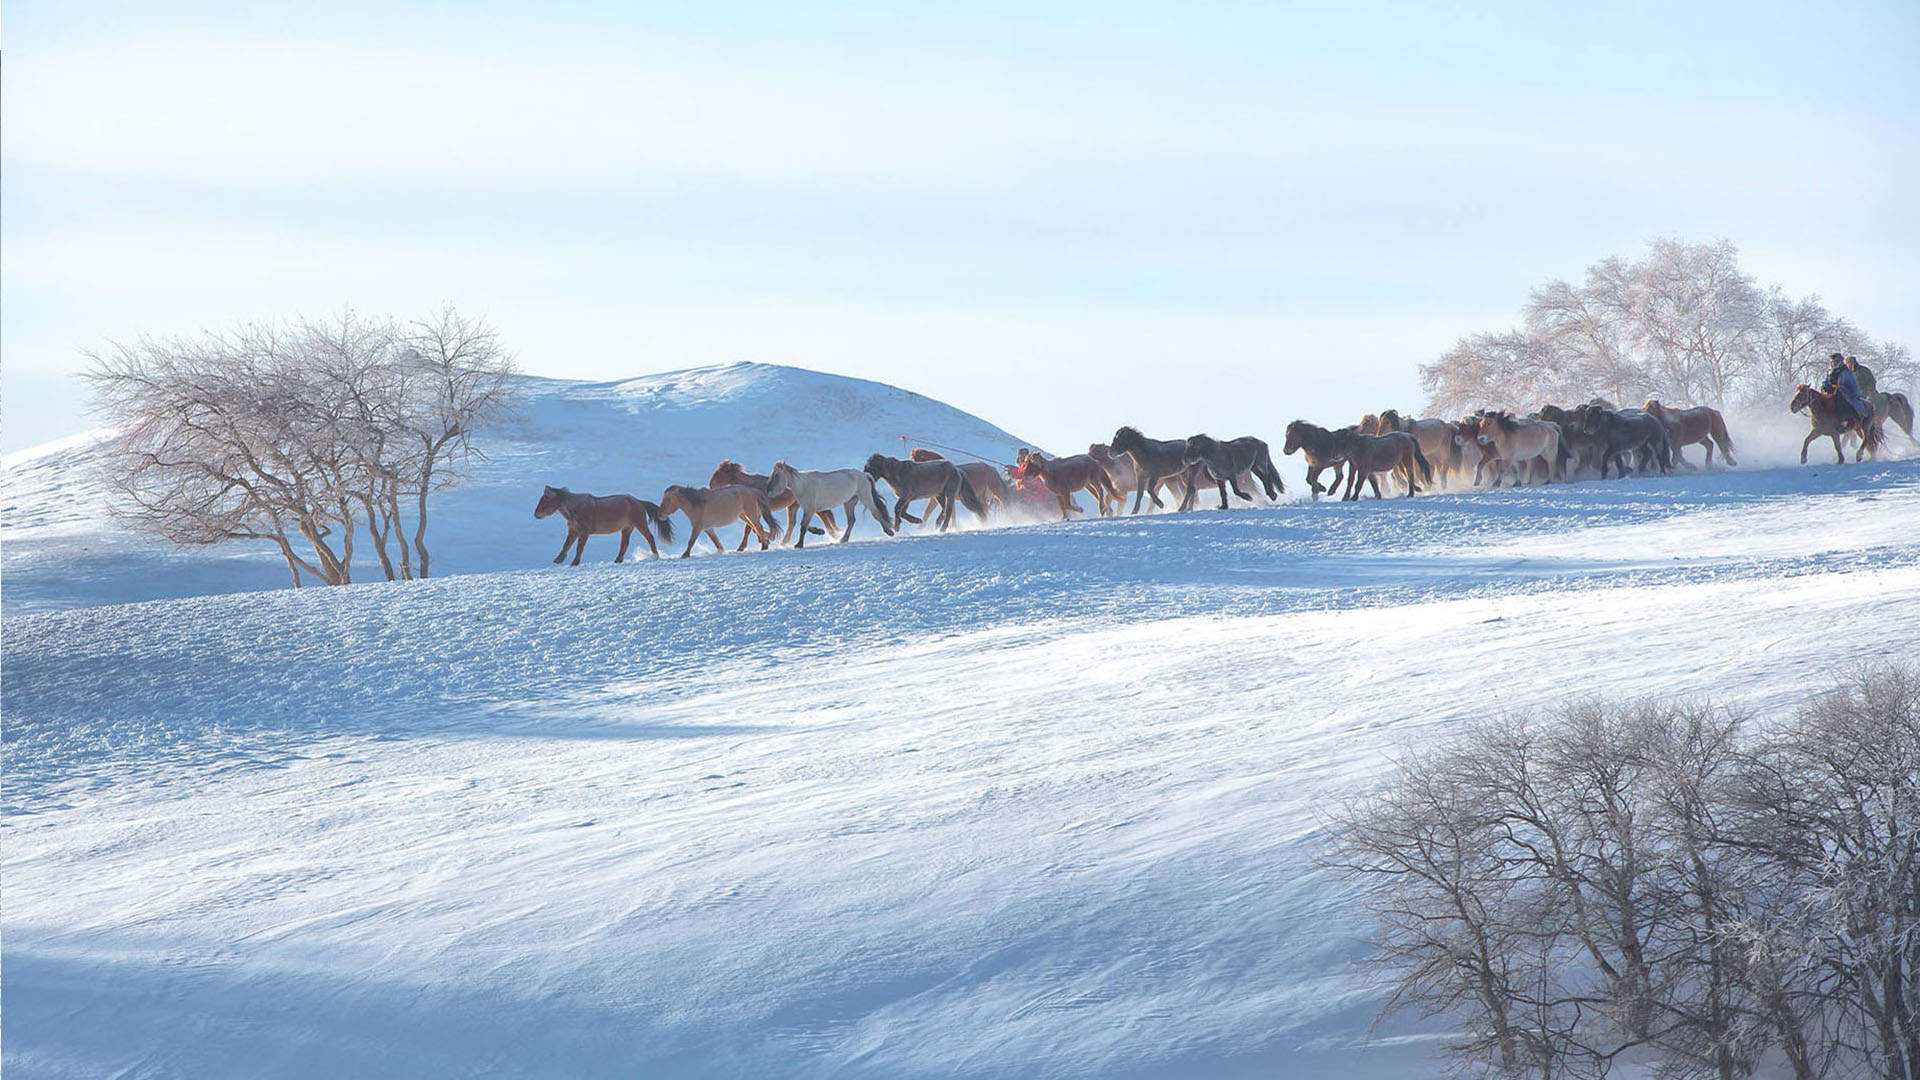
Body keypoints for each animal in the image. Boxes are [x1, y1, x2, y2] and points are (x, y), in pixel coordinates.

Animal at [534, 486, 674, 565]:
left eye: (545, 500)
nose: (536, 514)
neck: (576, 509)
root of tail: (638, 502)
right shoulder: (573, 531)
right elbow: (566, 546)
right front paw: (558, 560)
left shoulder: (584, 533)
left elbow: (579, 548)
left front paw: (575, 562)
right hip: (627, 528)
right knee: (624, 544)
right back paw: (618, 560)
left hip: (640, 524)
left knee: (649, 538)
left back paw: (655, 556)